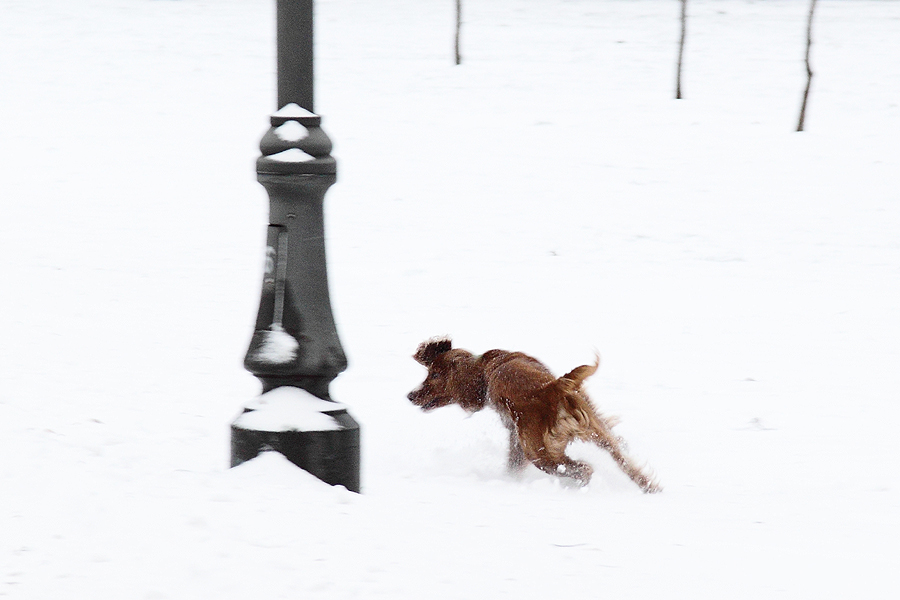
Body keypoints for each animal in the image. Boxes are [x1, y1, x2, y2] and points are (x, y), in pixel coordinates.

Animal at [408, 338, 660, 492]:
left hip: (541, 454)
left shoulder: (515, 435)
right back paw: (651, 488)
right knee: (626, 463)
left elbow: (512, 463)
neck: (486, 371)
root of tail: (550, 390)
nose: (410, 395)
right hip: (597, 433)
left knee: (582, 469)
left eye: (434, 375)